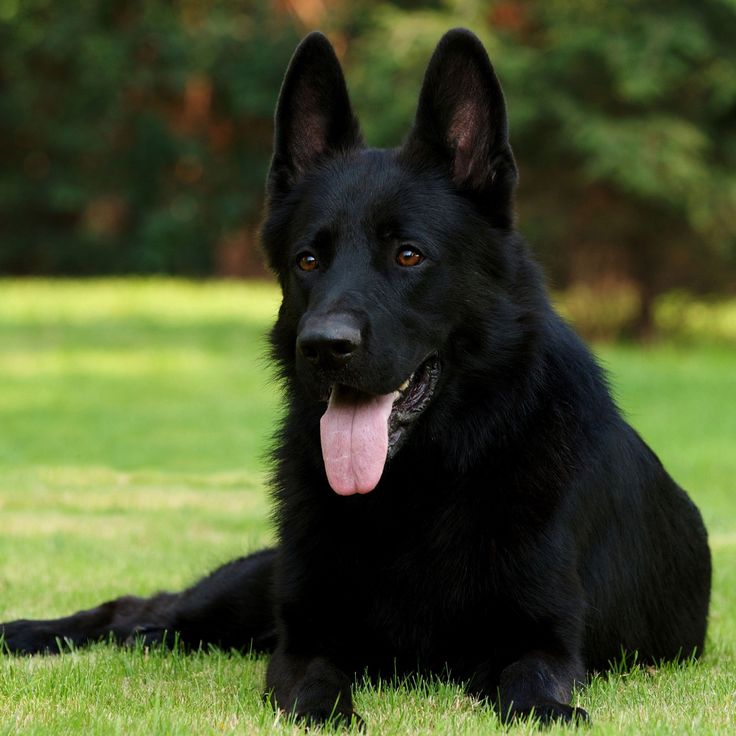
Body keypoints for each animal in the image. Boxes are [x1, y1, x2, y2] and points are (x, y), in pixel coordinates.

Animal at [1, 27, 712, 724]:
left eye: (409, 255)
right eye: (308, 260)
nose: (324, 347)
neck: (421, 488)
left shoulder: (544, 643)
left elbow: (531, 697)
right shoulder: (304, 643)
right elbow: (319, 696)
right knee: (135, 609)